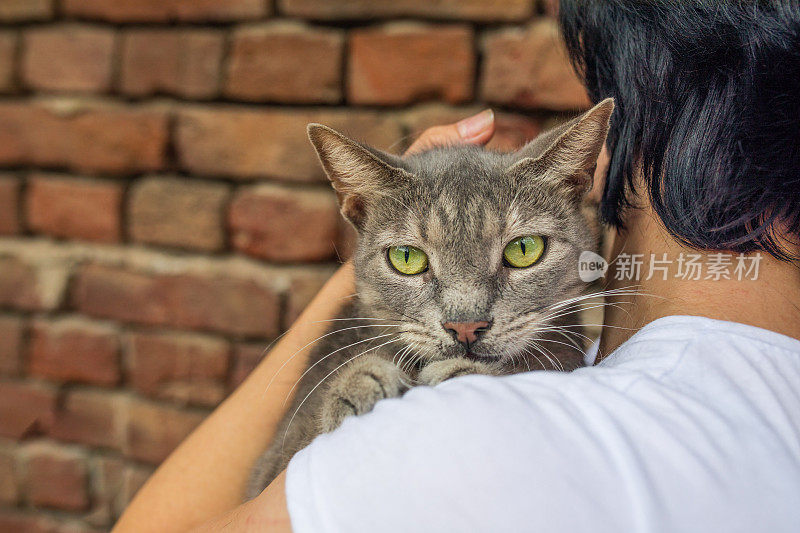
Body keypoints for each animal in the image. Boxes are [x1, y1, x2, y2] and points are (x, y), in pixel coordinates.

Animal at [247, 96, 616, 498]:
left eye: (524, 249)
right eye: (407, 257)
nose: (466, 325)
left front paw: (460, 373)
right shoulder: (270, 462)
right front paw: (357, 387)